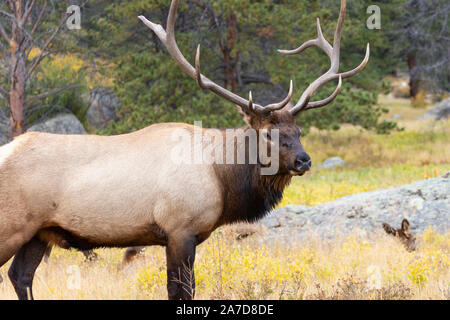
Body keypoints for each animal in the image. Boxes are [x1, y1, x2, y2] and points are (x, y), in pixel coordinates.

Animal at [0, 0, 370, 300]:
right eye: (268, 133)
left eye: (299, 131)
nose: (303, 160)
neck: (222, 178)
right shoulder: (179, 229)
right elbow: (181, 291)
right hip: (11, 225)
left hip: (39, 232)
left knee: (20, 276)